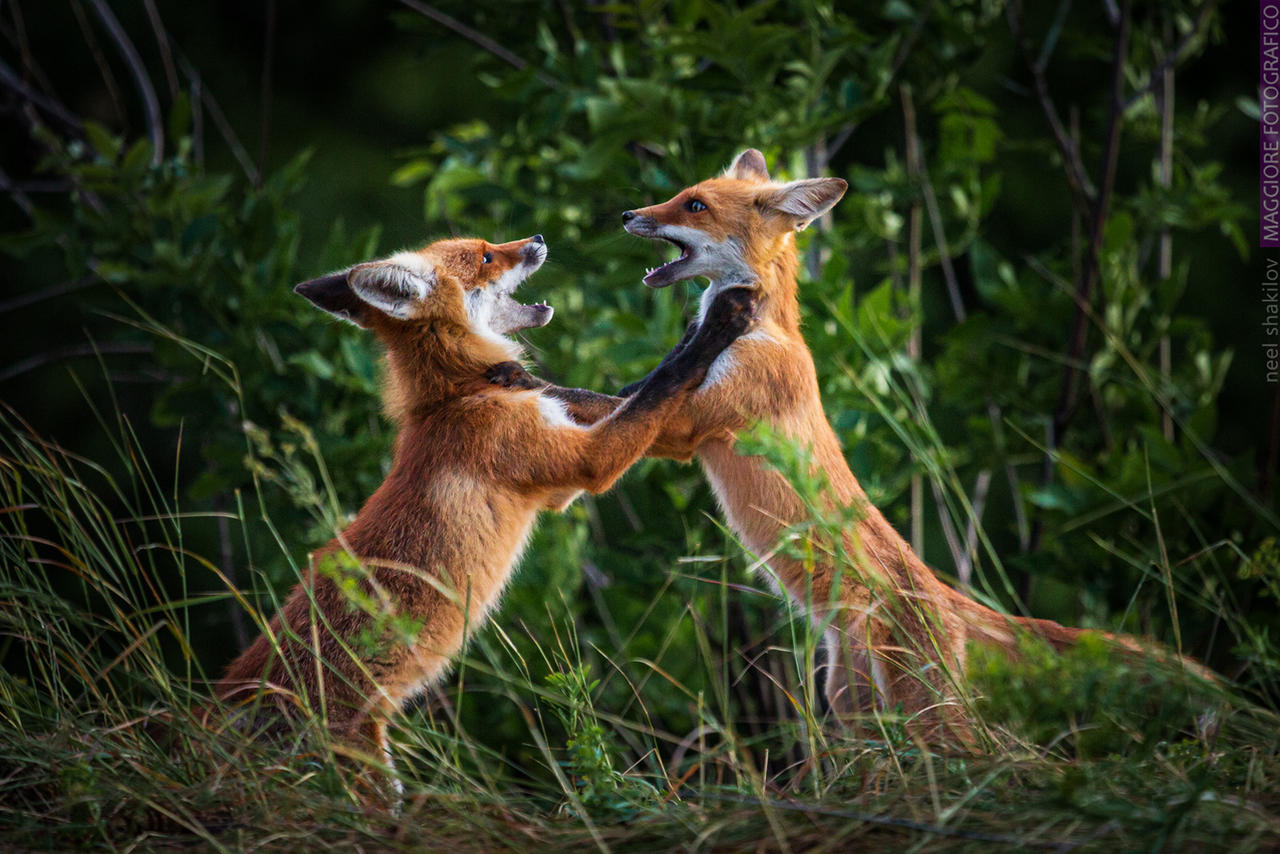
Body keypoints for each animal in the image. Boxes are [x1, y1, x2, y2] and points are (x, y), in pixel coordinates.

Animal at [215, 234, 758, 768]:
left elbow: (610, 392)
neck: (457, 393)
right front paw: (718, 324)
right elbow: (661, 384)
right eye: (486, 255)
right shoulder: (583, 462)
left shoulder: (557, 445)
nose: (538, 238)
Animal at [502, 150, 1214, 744]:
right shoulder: (670, 399)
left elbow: (612, 399)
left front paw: (525, 381)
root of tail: (946, 597)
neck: (761, 330)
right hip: (852, 703)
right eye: (678, 196)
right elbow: (614, 393)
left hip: (922, 711)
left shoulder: (693, 424)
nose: (629, 215)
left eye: (694, 205)